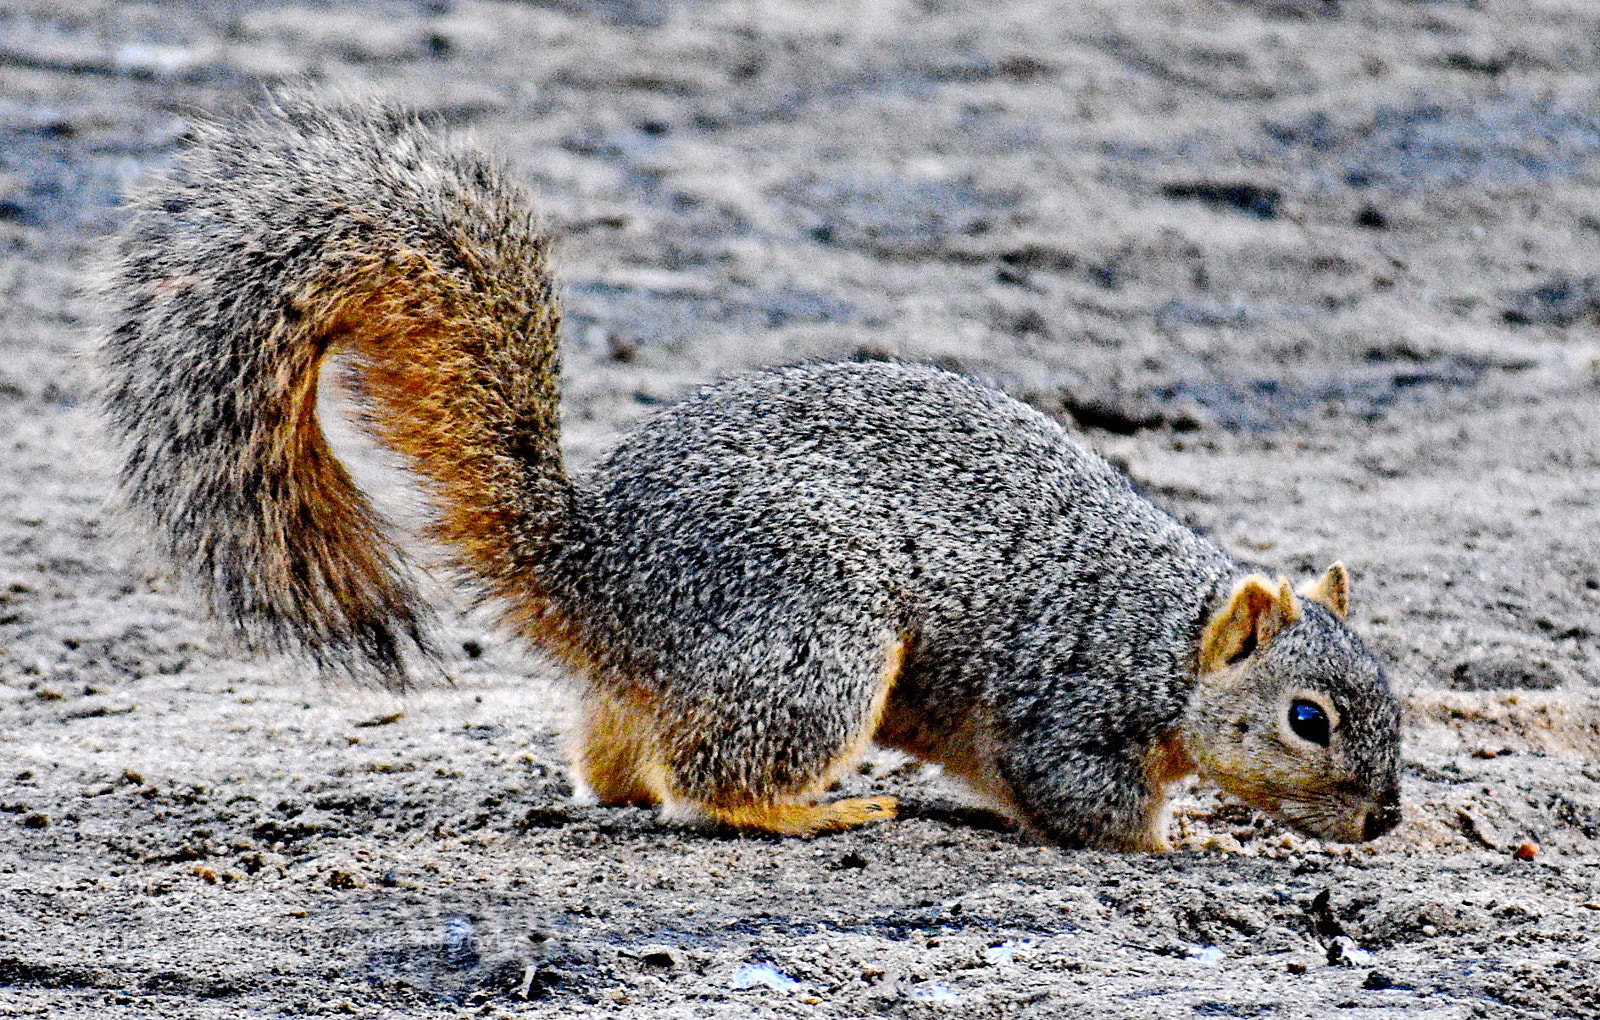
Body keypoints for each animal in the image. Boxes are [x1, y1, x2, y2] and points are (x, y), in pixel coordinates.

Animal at [99, 92, 1402, 850]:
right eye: (1307, 718)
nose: (1385, 821)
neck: (1169, 638)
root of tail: (597, 573)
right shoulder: (1069, 713)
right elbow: (1091, 807)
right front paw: (1192, 839)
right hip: (815, 632)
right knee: (707, 782)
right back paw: (817, 807)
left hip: (701, 668)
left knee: (618, 766)